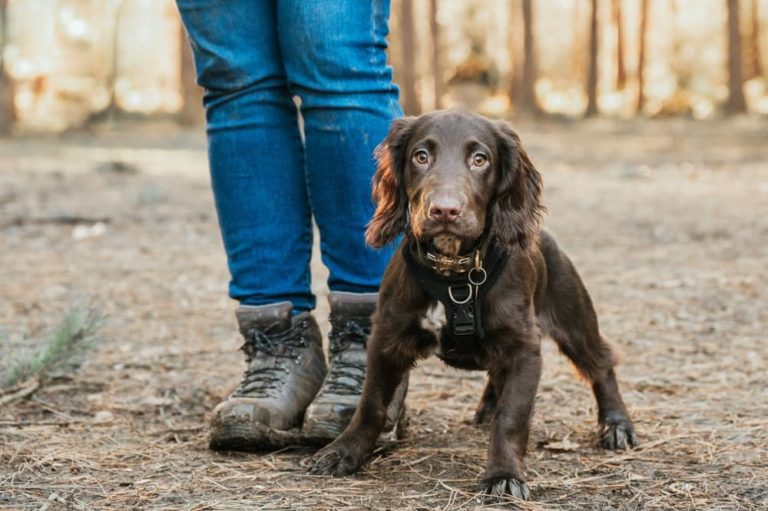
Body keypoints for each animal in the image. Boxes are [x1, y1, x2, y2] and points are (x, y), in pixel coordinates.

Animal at [308, 111, 640, 500]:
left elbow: (512, 418)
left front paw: (504, 474)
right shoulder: (386, 339)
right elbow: (371, 404)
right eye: (421, 156)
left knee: (600, 364)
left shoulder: (524, 349)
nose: (445, 210)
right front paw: (343, 452)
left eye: (480, 159)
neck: (455, 274)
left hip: (573, 316)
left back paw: (616, 424)